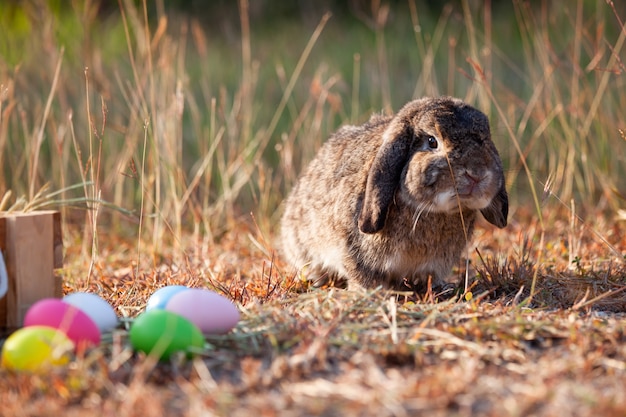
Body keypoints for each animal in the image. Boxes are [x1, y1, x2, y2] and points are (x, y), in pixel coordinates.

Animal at [280, 96, 508, 292]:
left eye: (484, 140)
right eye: (432, 142)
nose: (476, 174)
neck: (434, 212)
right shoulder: (353, 250)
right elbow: (361, 275)